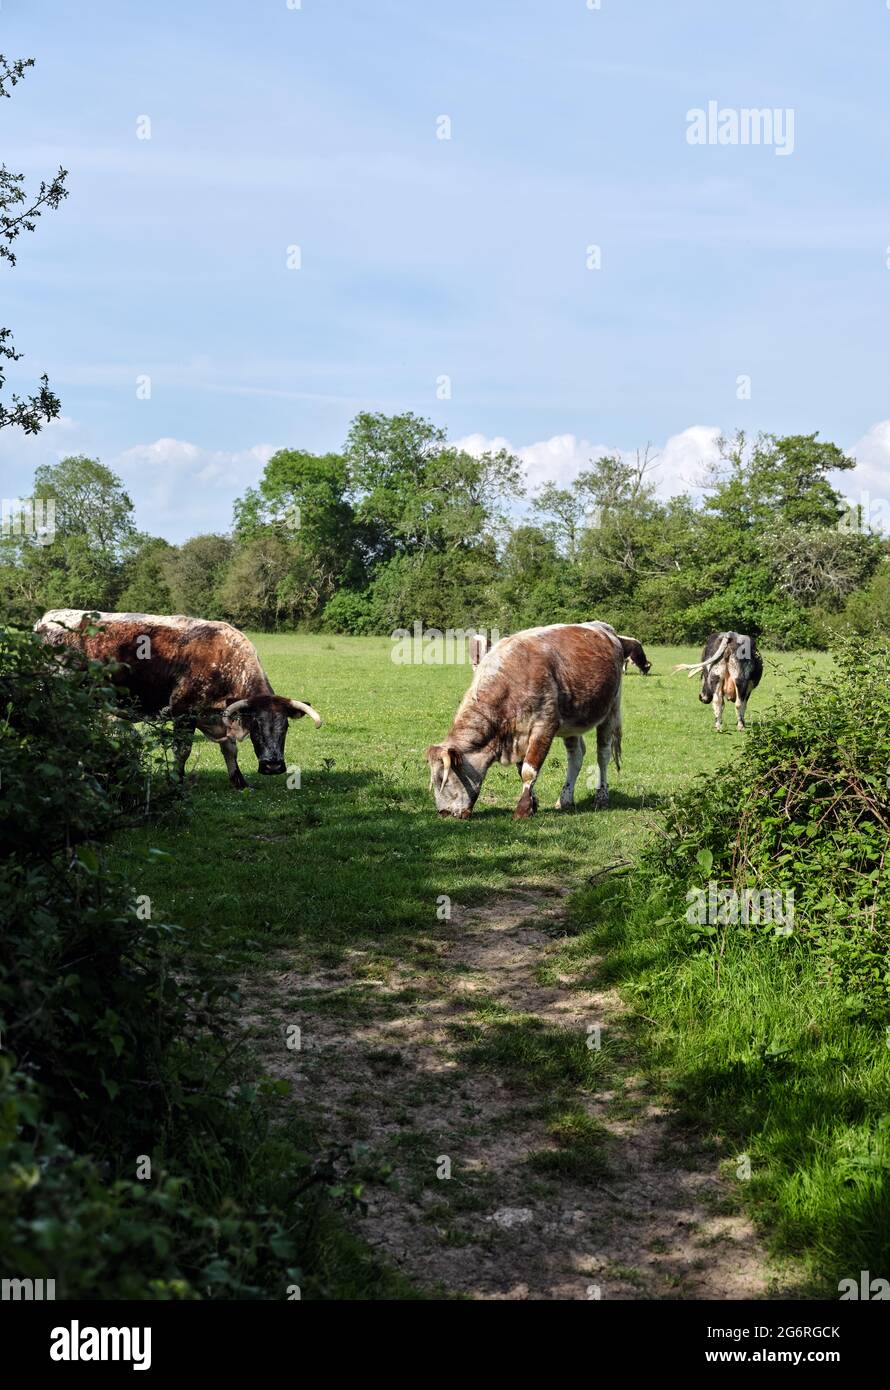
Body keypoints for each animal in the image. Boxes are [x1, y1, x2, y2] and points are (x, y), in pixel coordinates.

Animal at [34, 610, 322, 788]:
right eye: (255, 727)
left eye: (285, 727)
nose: (273, 766)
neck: (224, 660)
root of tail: (47, 618)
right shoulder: (184, 712)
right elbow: (182, 751)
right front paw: (176, 780)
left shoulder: (218, 715)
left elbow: (229, 748)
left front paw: (239, 781)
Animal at [427, 621, 624, 819]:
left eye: (443, 779)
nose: (443, 812)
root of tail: (602, 627)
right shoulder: (518, 735)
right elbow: (521, 770)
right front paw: (532, 804)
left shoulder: (544, 726)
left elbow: (529, 770)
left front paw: (522, 810)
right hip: (572, 723)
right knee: (575, 757)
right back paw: (565, 800)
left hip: (611, 711)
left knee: (603, 755)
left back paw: (601, 797)